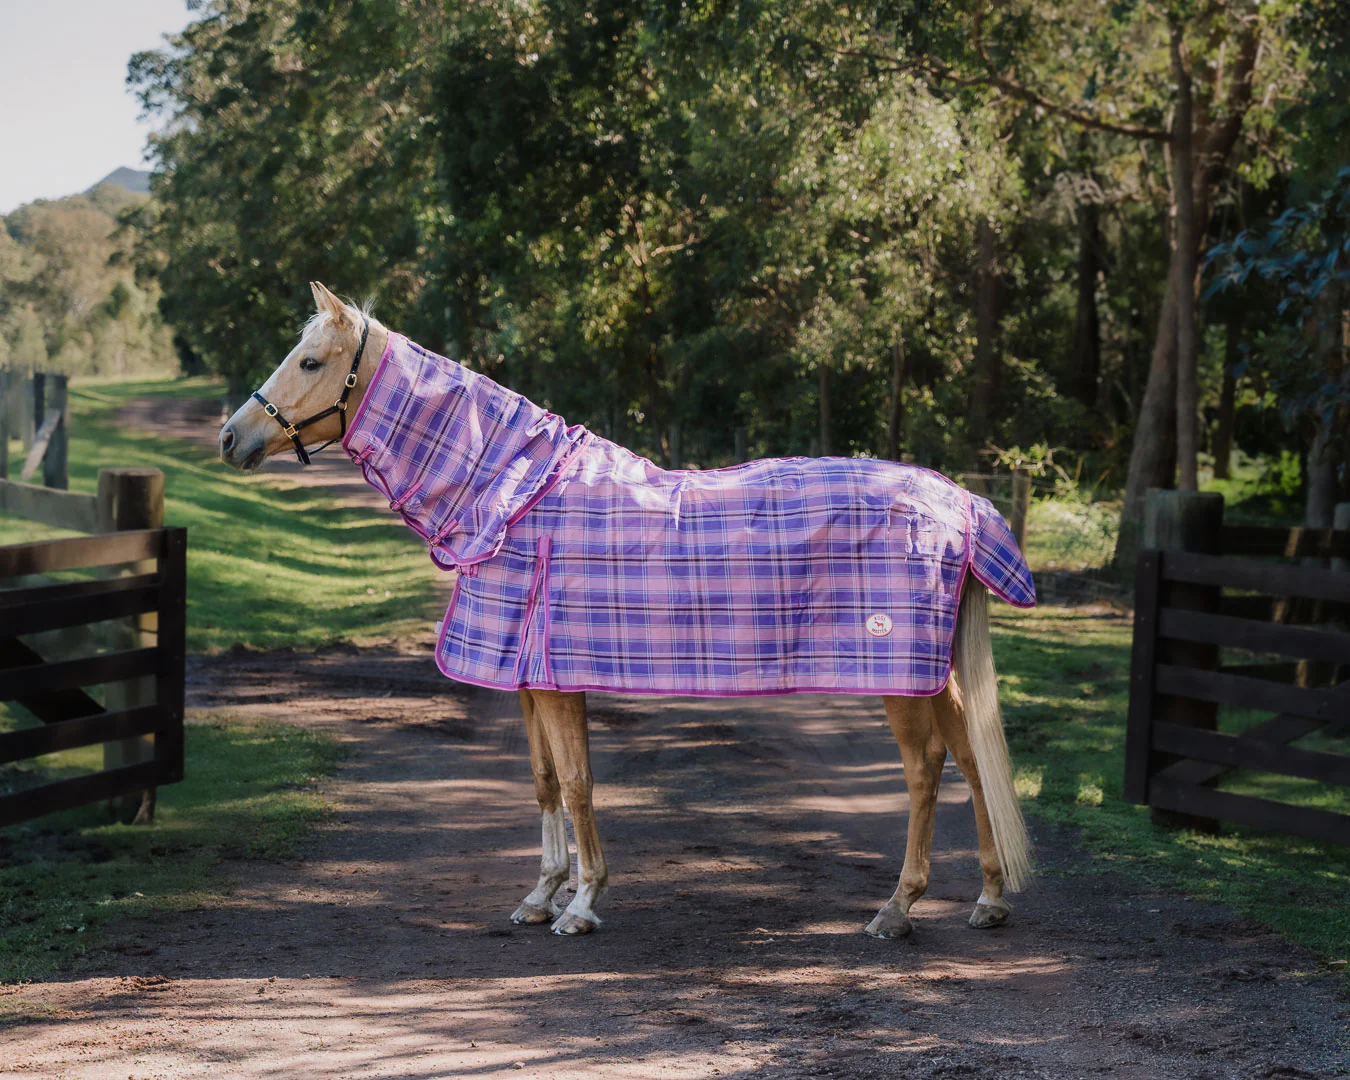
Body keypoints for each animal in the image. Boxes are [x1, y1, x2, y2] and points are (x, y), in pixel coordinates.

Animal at [218, 281, 1035, 938]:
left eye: (311, 362)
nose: (231, 437)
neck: (513, 497)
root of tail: (958, 500)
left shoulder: (555, 679)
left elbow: (579, 783)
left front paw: (581, 906)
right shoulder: (529, 678)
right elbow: (545, 780)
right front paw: (540, 896)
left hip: (898, 676)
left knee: (925, 772)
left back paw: (897, 909)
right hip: (935, 673)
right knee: (969, 757)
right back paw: (989, 899)